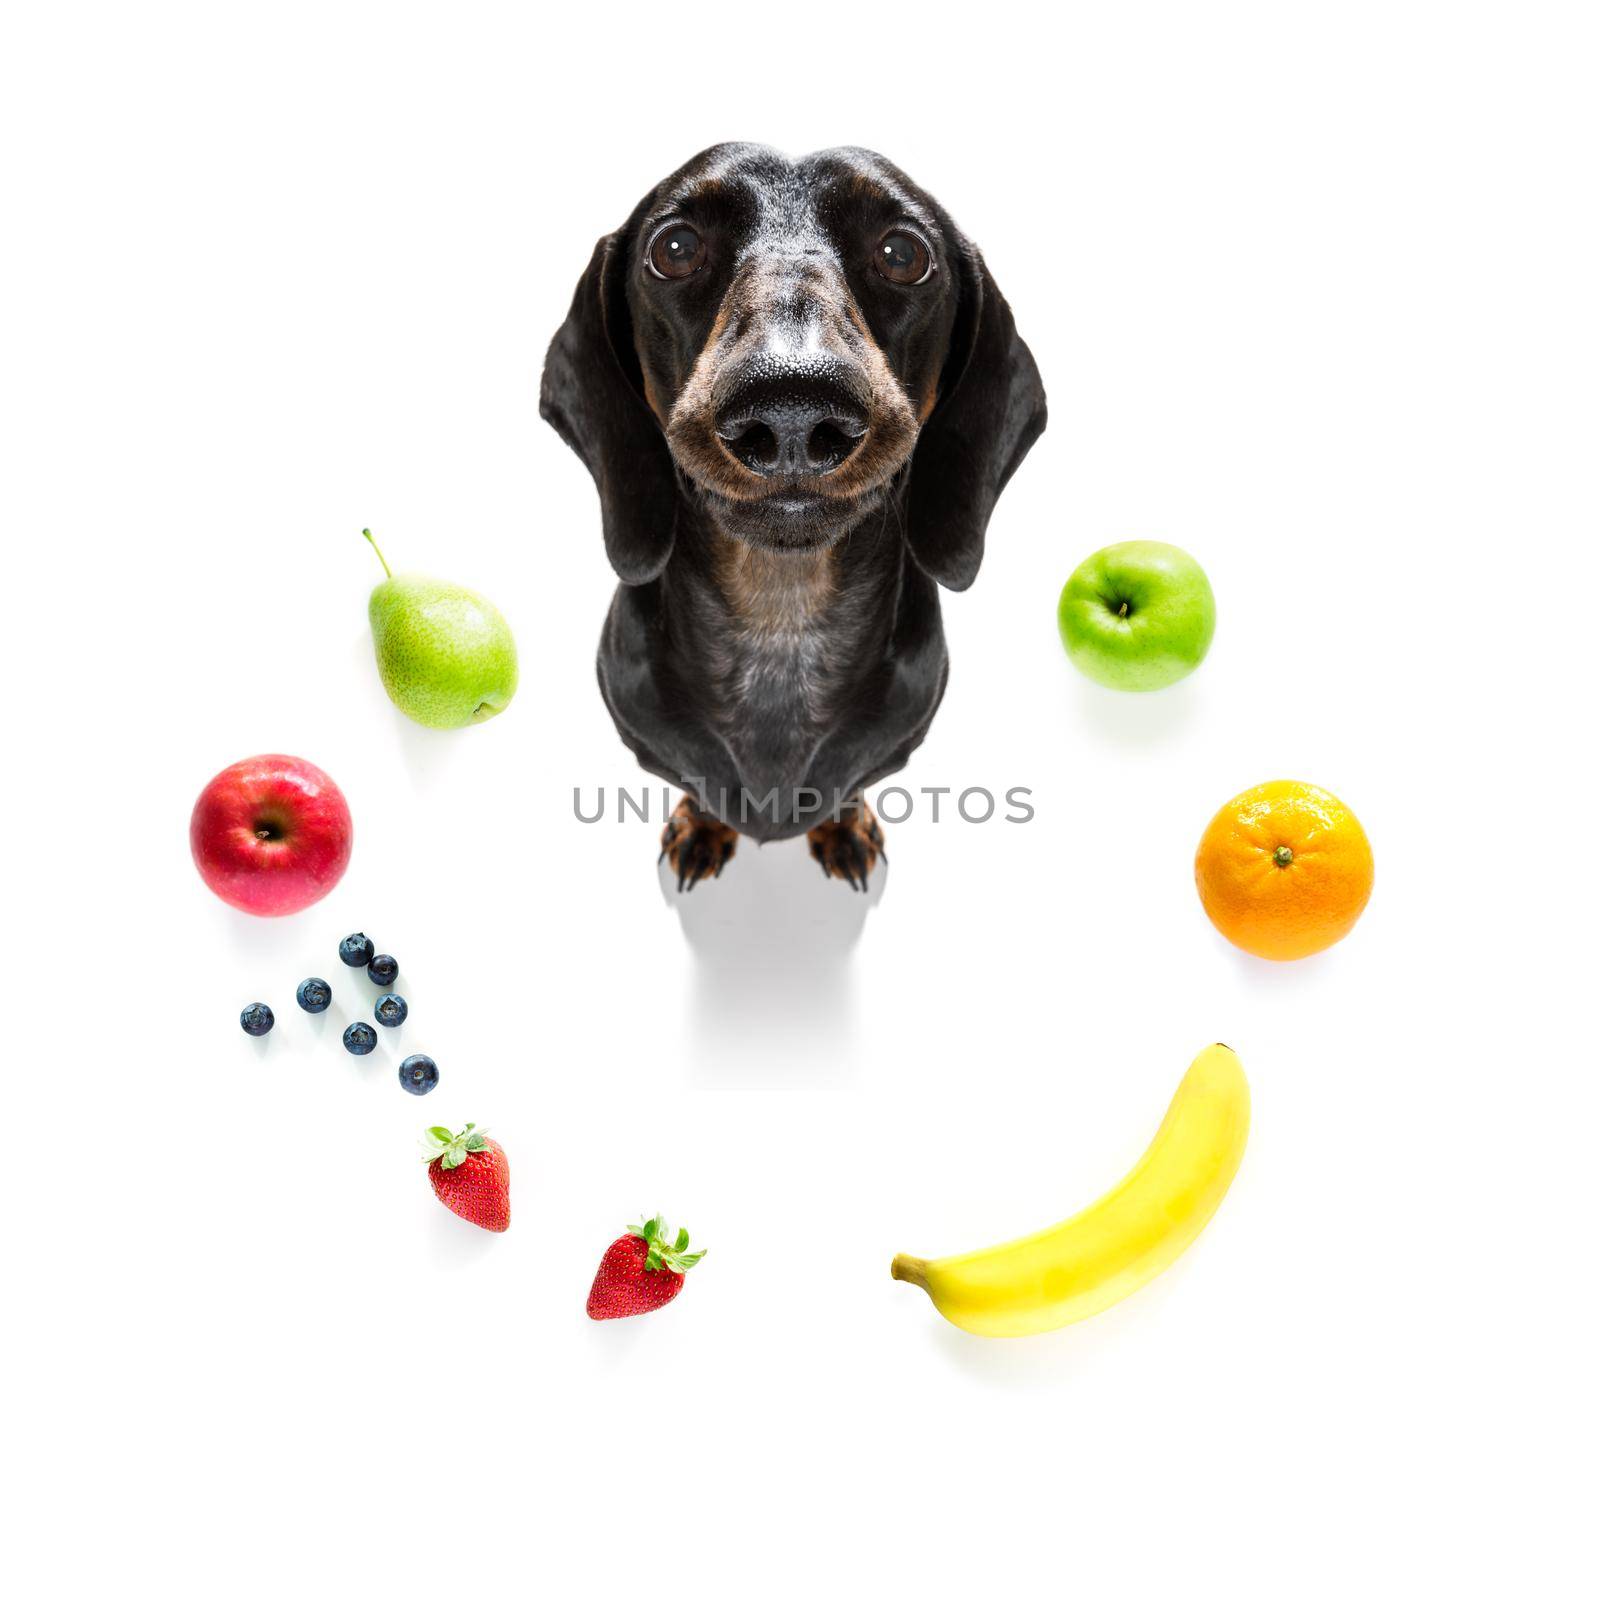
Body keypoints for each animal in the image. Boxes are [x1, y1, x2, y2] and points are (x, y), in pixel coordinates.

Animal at [544, 144, 1043, 889]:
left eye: (902, 252)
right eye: (675, 248)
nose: (792, 410)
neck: (782, 626)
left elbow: (849, 790)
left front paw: (845, 826)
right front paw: (702, 826)